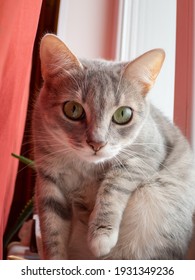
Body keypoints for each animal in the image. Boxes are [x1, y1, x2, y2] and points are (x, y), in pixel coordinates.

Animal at [32, 34, 195, 260]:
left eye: (123, 114)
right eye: (73, 109)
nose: (97, 143)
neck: (86, 168)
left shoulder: (145, 156)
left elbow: (113, 185)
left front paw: (101, 235)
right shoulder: (48, 180)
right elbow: (52, 230)